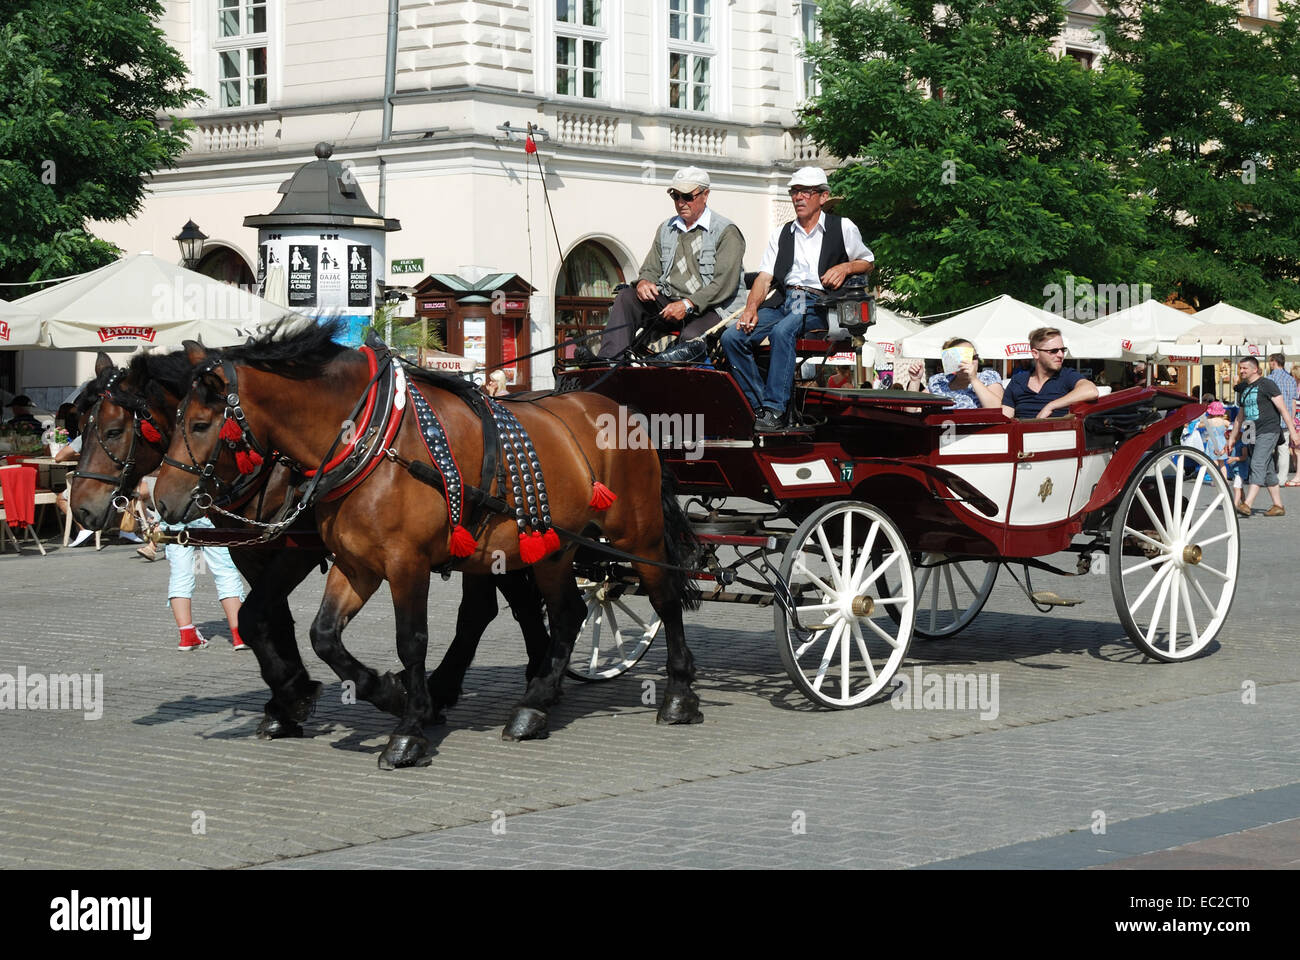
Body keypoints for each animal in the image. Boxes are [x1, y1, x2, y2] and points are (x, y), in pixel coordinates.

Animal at [69, 348, 553, 738]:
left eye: (113, 432)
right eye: (82, 429)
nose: (83, 509)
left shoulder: (296, 552)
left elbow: (255, 615)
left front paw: (295, 694)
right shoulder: (251, 552)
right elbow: (267, 620)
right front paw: (287, 697)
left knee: (505, 607)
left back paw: (525, 685)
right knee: (500, 607)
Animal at [150, 325, 702, 764]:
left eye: (200, 424)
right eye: (170, 423)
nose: (160, 502)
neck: (372, 441)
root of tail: (619, 408)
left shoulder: (404, 563)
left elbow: (411, 640)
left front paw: (409, 728)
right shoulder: (355, 565)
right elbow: (323, 636)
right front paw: (388, 693)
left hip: (637, 533)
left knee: (663, 599)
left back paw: (678, 695)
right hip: (551, 548)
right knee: (567, 613)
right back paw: (533, 707)